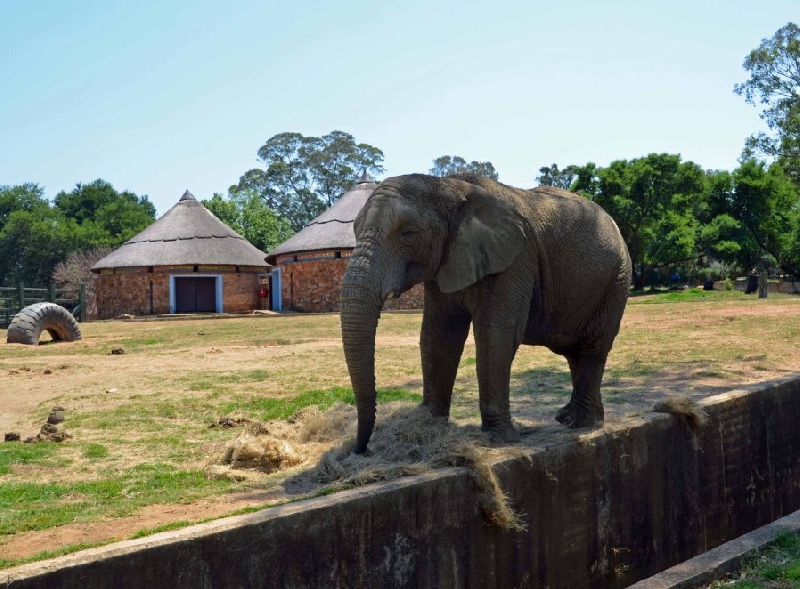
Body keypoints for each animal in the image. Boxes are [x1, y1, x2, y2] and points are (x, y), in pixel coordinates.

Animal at [342, 172, 632, 452]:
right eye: (353, 231)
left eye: (408, 234)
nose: (360, 449)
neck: (448, 185)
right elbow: (438, 337)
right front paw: (429, 426)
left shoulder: (514, 260)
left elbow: (496, 335)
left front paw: (499, 439)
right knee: (575, 351)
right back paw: (581, 419)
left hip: (617, 278)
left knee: (594, 345)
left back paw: (578, 421)